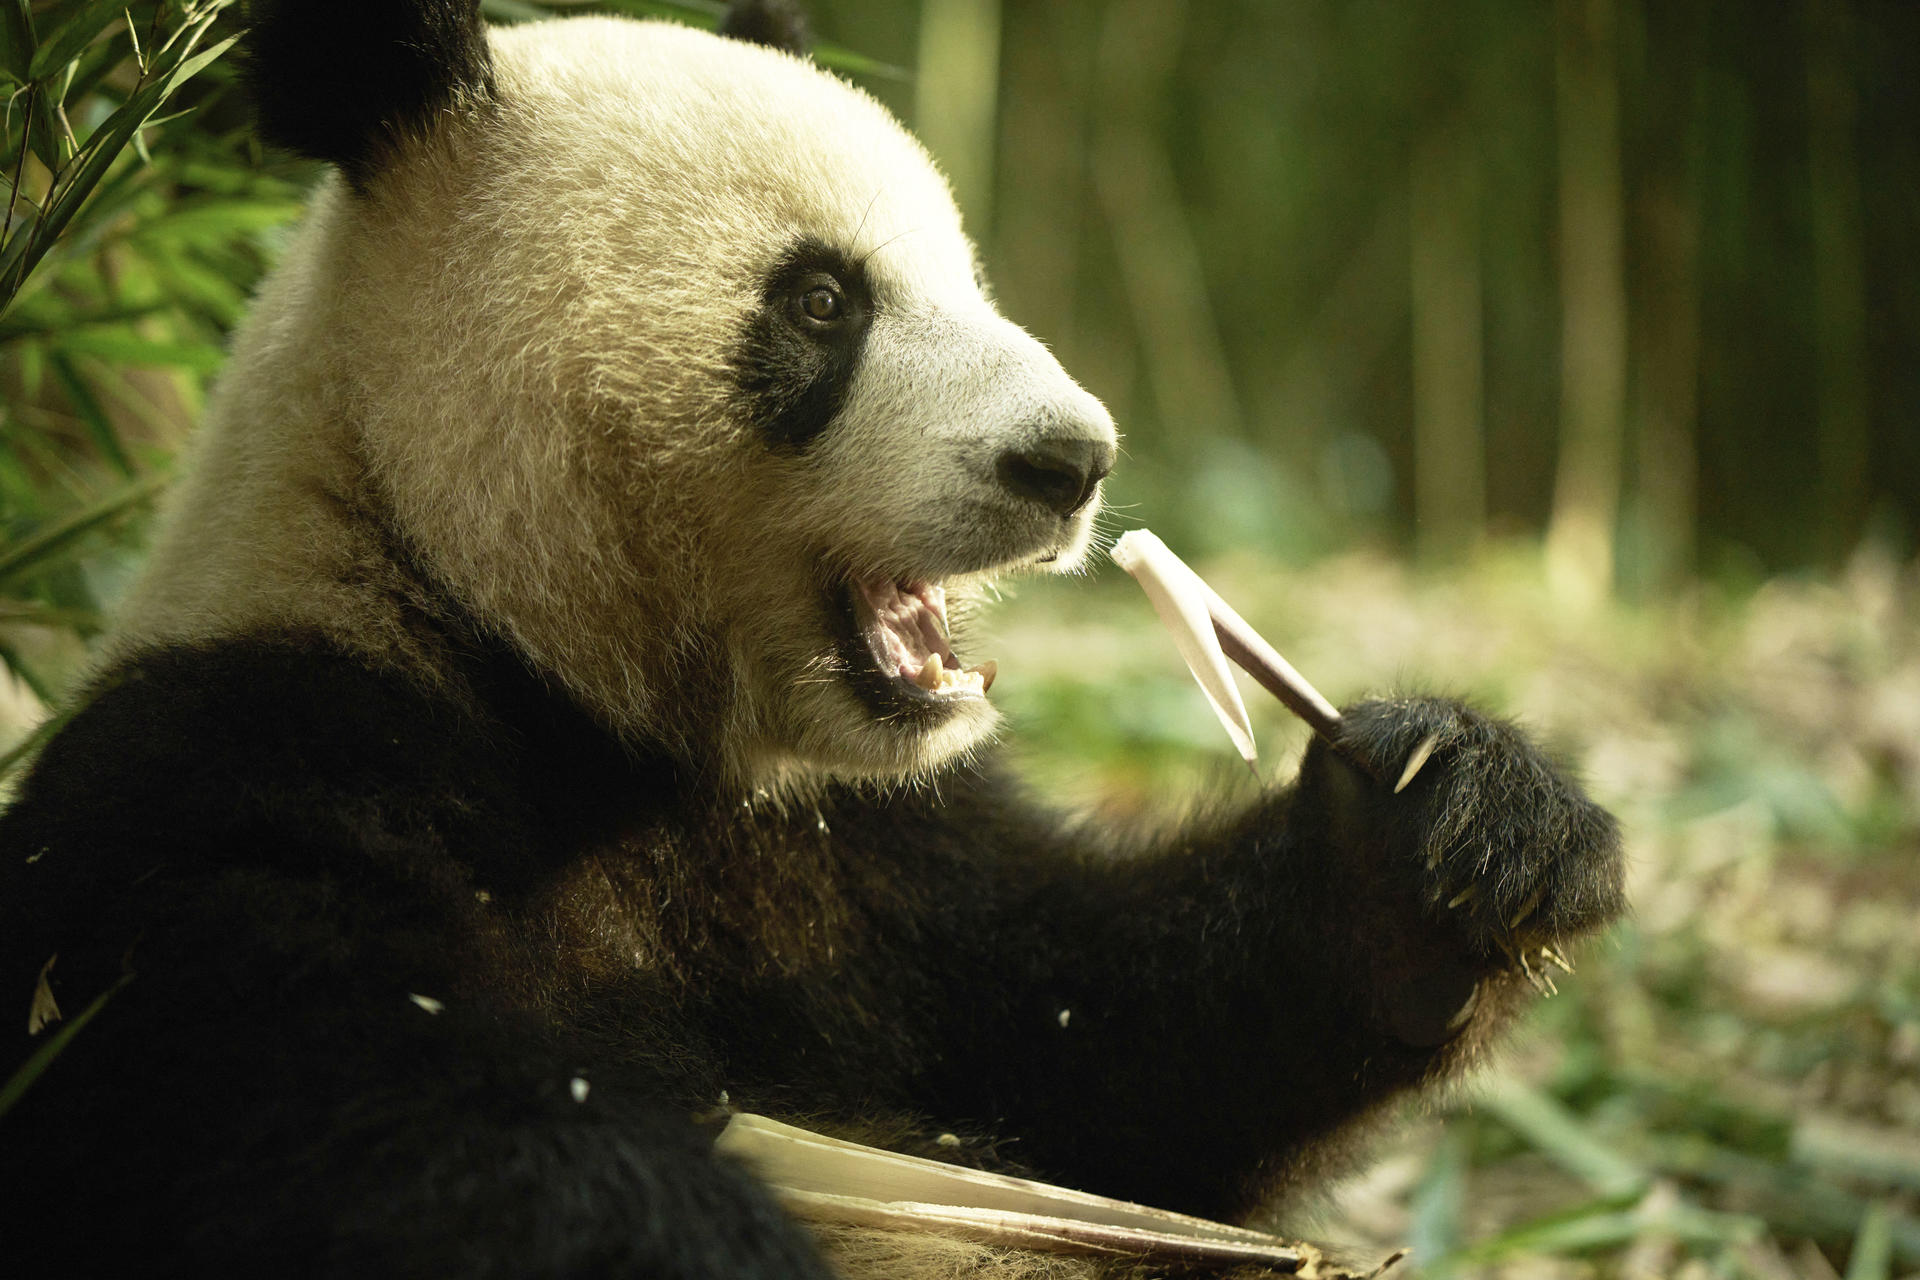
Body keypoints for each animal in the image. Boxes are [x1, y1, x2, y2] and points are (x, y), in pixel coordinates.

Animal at [0, 2, 1625, 1277]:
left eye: (967, 275)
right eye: (823, 300)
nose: (1071, 460)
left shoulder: (876, 853)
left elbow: (1099, 1062)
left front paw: (1450, 836)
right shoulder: (246, 762)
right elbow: (349, 1113)